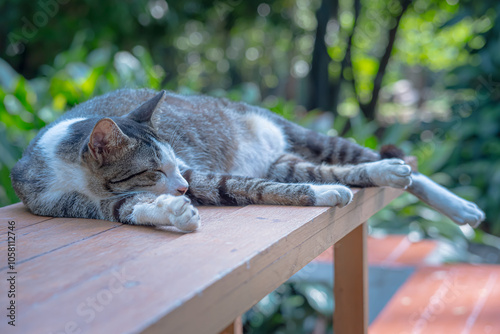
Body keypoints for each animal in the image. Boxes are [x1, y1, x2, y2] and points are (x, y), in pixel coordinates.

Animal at [9, 87, 486, 231]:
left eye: (174, 164)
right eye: (152, 169)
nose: (182, 188)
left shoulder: (200, 174)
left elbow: (242, 186)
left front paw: (327, 194)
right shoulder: (82, 206)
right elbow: (131, 210)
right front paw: (173, 212)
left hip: (310, 135)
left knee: (374, 164)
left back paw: (455, 203)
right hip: (285, 161)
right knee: (317, 169)